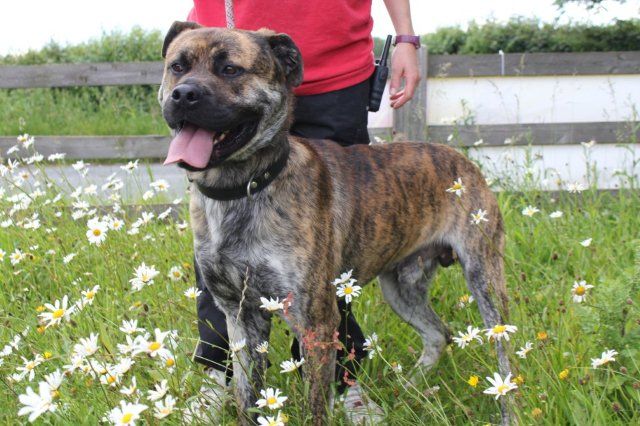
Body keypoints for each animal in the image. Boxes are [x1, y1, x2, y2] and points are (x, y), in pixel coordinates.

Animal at [159, 21, 510, 424]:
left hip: (485, 281)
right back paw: (410, 390)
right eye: (177, 66)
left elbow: (315, 406)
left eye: (230, 69)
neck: (244, 188)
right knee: (439, 334)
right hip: (401, 288)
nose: (184, 95)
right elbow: (248, 396)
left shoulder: (314, 320)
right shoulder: (239, 315)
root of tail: (463, 161)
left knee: (505, 361)